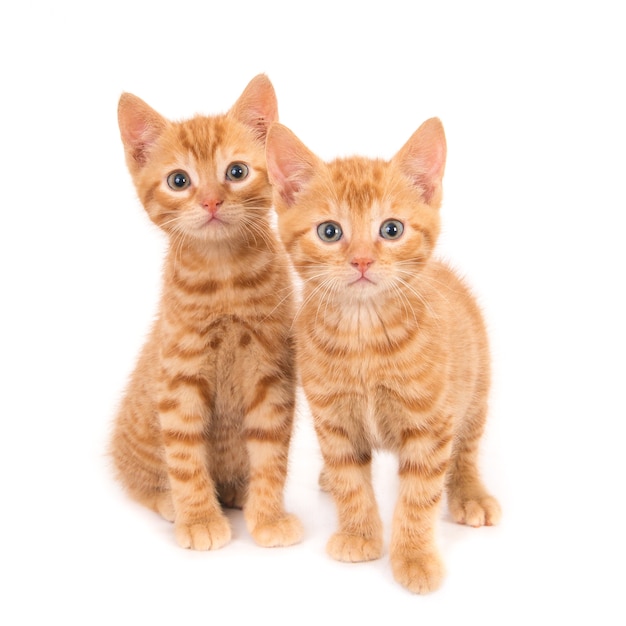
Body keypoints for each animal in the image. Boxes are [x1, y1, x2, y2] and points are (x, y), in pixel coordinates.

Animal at [110, 75, 302, 548]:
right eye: (179, 180)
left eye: (236, 172)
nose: (212, 202)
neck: (224, 278)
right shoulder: (178, 377)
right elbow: (184, 455)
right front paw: (198, 519)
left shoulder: (272, 372)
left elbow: (271, 453)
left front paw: (268, 516)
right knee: (141, 481)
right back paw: (170, 502)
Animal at [266, 117, 500, 588]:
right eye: (330, 231)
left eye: (391, 229)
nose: (361, 261)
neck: (364, 338)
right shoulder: (332, 419)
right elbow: (351, 480)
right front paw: (359, 534)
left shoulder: (430, 423)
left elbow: (420, 494)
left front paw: (414, 557)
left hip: (475, 390)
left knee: (465, 449)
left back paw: (469, 491)